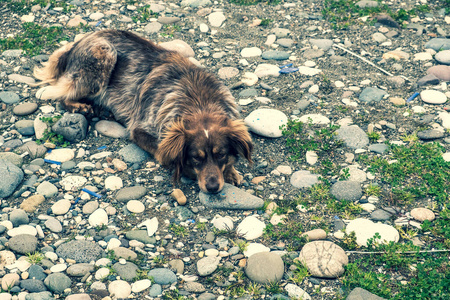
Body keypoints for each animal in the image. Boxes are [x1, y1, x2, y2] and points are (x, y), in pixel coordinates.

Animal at [34, 29, 253, 193]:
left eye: (221, 155)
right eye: (195, 158)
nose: (213, 187)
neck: (200, 104)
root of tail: (74, 44)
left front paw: (231, 171)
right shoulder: (140, 129)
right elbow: (163, 152)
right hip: (103, 55)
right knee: (61, 94)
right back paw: (80, 107)